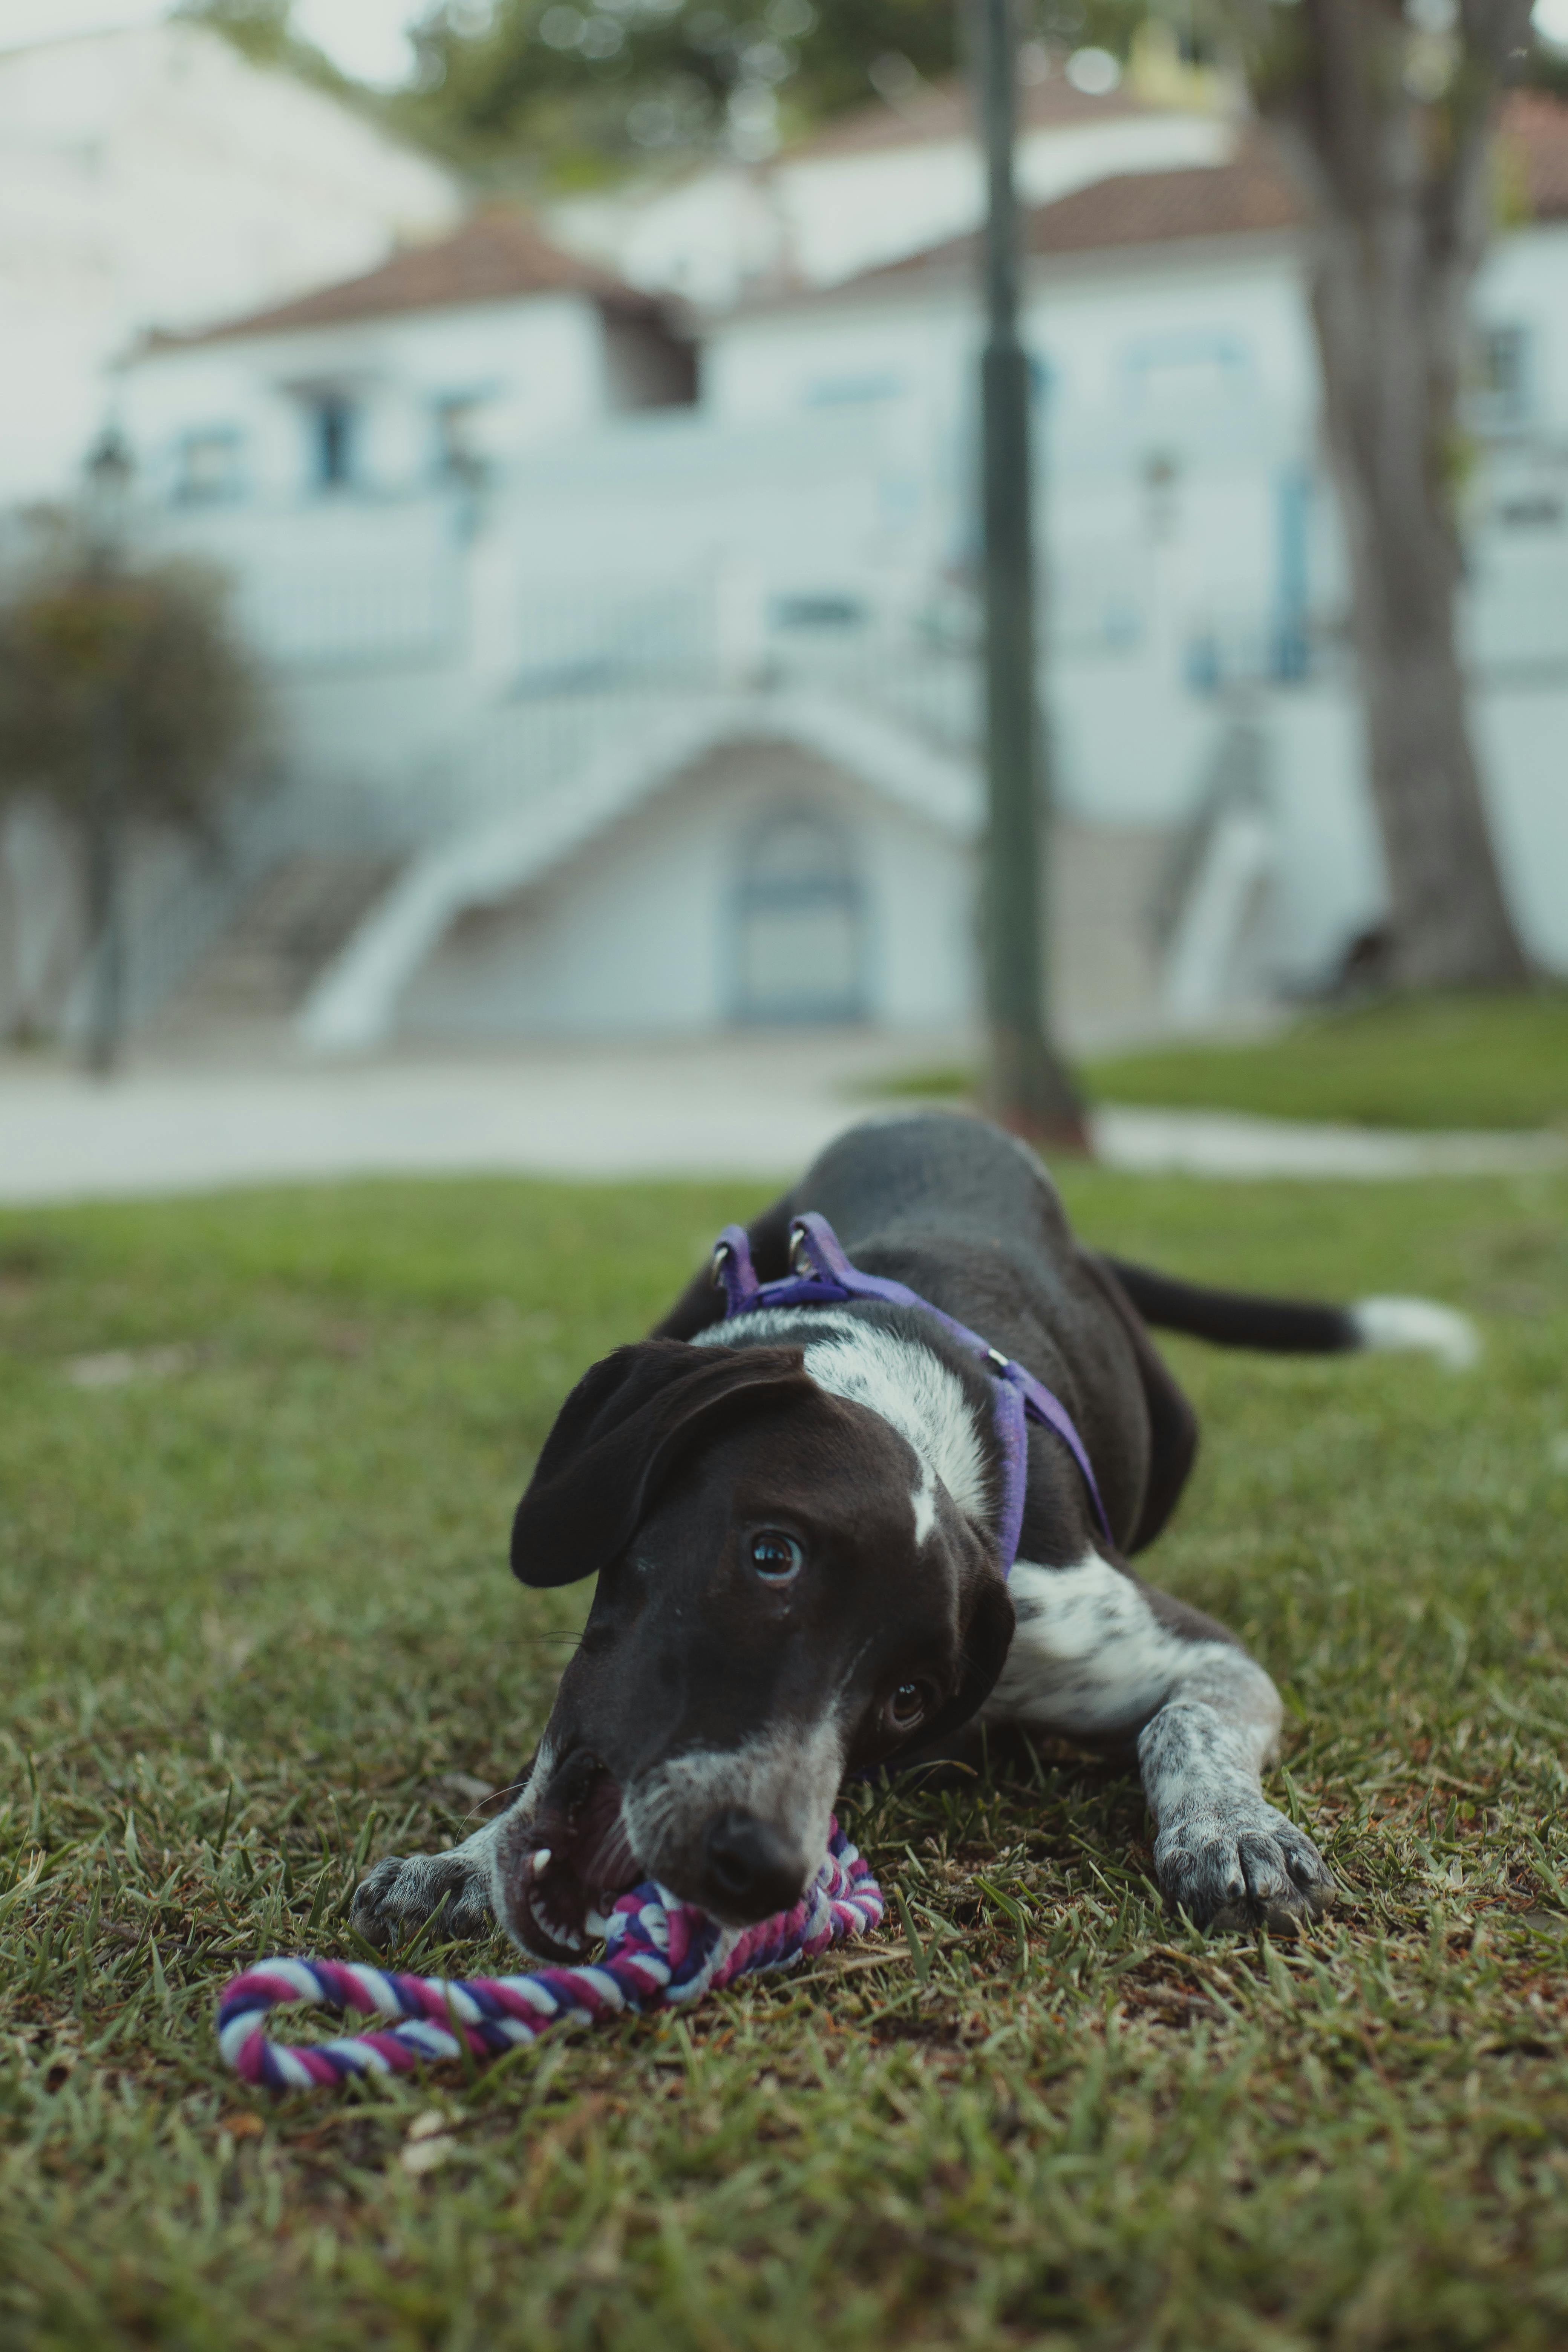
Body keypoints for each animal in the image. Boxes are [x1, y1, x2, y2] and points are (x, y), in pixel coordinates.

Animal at [352, 1110, 1476, 1957]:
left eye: (909, 1699)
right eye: (772, 1556)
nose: (759, 1867)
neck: (908, 1401)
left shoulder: (1168, 1642)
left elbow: (1182, 1723)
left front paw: (1235, 1834)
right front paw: (460, 1860)